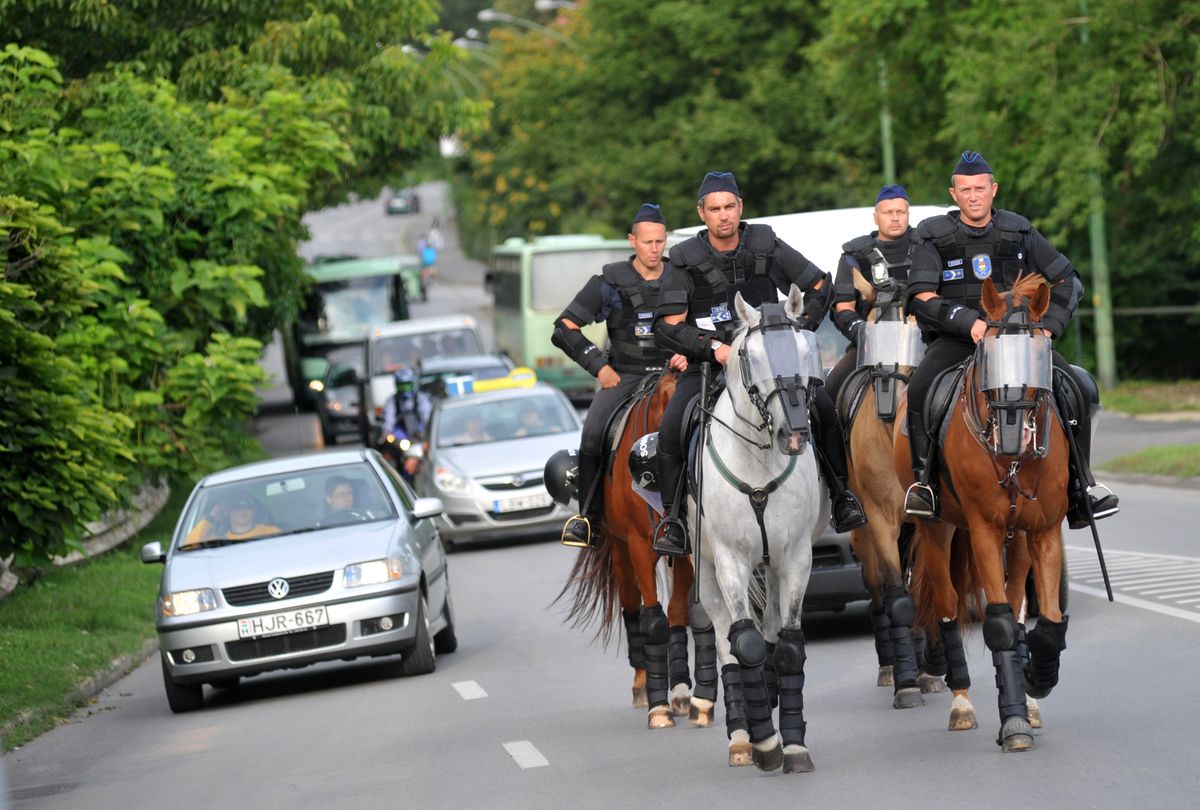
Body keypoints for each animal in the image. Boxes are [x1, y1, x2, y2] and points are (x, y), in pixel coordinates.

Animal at [554, 369, 715, 729]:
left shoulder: (687, 554)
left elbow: (679, 614)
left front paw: (681, 692)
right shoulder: (640, 548)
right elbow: (652, 622)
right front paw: (660, 707)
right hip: (620, 551)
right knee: (632, 609)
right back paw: (642, 686)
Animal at [691, 285, 830, 772]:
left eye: (806, 349)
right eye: (750, 356)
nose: (795, 434)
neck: (759, 459)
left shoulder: (796, 558)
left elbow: (786, 646)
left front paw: (794, 744)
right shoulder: (730, 559)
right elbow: (745, 643)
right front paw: (766, 743)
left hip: (769, 565)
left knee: (767, 628)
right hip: (703, 571)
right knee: (725, 641)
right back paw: (740, 737)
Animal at [897, 277, 1075, 753]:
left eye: (1037, 358)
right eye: (990, 357)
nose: (1012, 441)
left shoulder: (1043, 531)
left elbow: (1047, 621)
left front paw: (1036, 681)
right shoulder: (983, 532)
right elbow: (997, 624)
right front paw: (1013, 722)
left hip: (1019, 539)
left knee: (1017, 605)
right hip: (937, 530)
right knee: (947, 606)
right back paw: (961, 703)